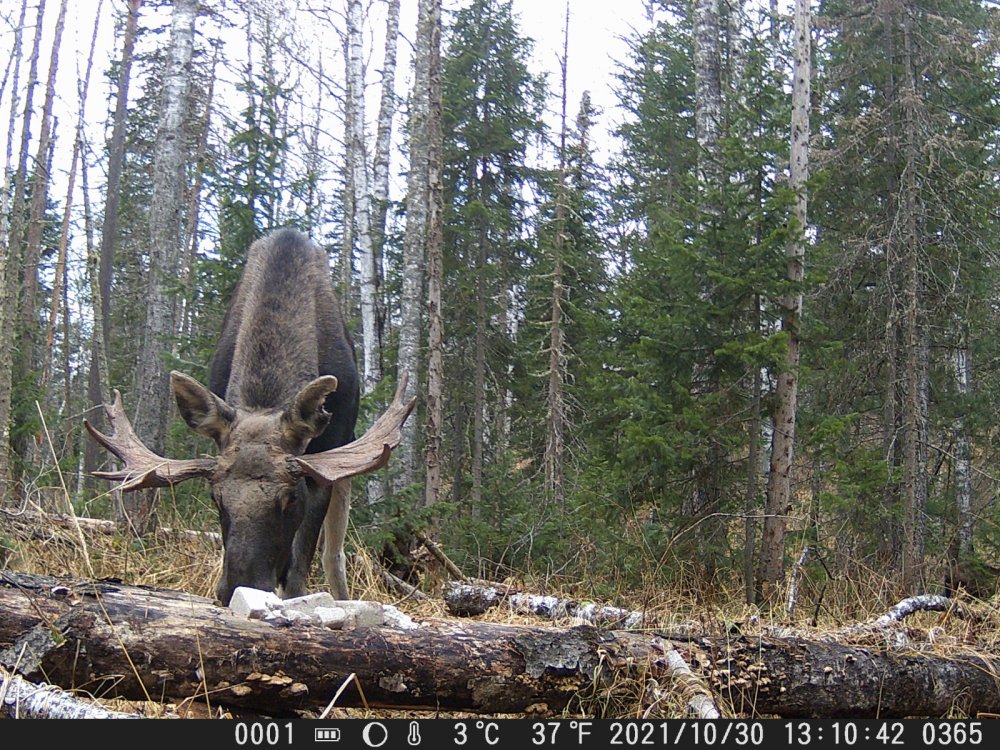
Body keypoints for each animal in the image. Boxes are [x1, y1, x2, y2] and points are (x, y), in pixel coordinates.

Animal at [85, 228, 414, 605]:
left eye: (291, 497)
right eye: (216, 498)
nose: (239, 585)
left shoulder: (325, 463)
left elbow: (300, 569)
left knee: (335, 553)